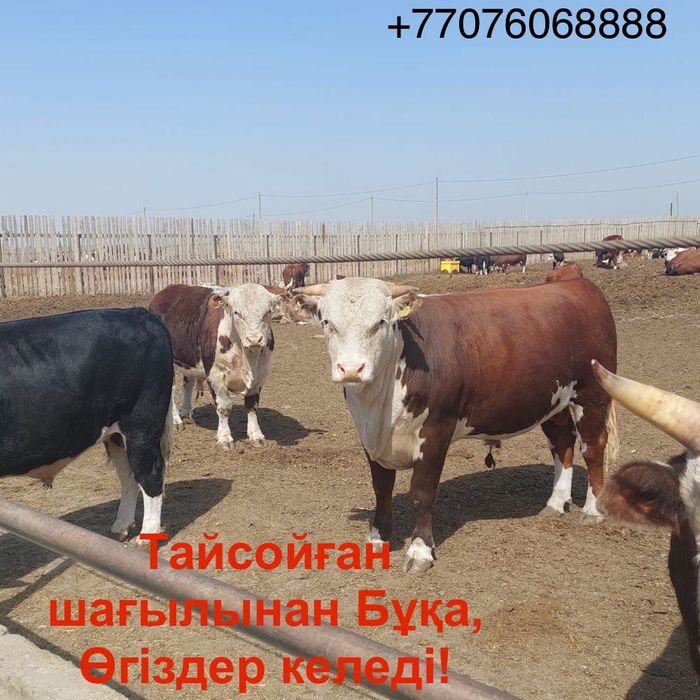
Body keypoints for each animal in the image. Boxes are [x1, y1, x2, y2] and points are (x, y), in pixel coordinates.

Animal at [0, 308, 174, 541]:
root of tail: (139, 313)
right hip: (116, 435)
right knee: (129, 476)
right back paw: (120, 529)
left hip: (142, 425)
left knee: (149, 474)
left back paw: (146, 536)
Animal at [149, 283, 281, 448]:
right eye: (236, 312)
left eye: (268, 312)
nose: (254, 339)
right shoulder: (215, 373)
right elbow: (224, 407)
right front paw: (225, 438)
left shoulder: (261, 374)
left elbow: (252, 405)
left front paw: (256, 435)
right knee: (171, 388)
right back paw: (176, 420)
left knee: (188, 383)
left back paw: (185, 412)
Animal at [294, 275, 618, 572]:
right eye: (327, 321)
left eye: (381, 322)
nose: (351, 369)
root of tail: (574, 280)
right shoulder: (370, 436)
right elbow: (381, 488)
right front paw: (378, 538)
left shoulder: (437, 429)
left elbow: (422, 493)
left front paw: (420, 551)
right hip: (554, 402)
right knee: (562, 443)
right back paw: (555, 503)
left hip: (592, 395)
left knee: (592, 449)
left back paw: (592, 510)